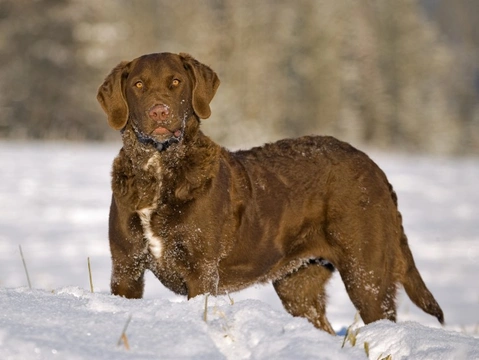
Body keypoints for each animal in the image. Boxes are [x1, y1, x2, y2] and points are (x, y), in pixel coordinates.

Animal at [98, 52, 446, 334]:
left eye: (176, 82)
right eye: (139, 85)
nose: (159, 112)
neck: (158, 169)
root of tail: (374, 166)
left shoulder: (201, 272)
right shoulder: (126, 266)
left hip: (366, 273)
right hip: (298, 283)